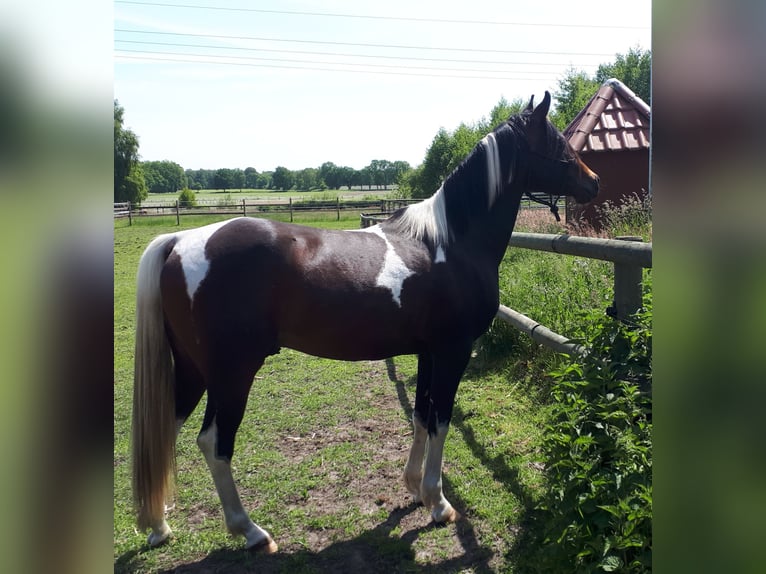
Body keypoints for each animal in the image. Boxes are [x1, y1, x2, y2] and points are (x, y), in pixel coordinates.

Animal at [132, 91, 599, 553]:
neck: (450, 241)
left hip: (192, 370)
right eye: (559, 142)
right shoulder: (453, 351)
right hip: (232, 373)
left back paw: (158, 525)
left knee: (165, 433)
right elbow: (441, 420)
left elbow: (421, 415)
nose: (593, 181)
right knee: (214, 443)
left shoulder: (428, 353)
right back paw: (250, 531)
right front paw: (438, 502)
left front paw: (414, 488)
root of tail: (181, 240)